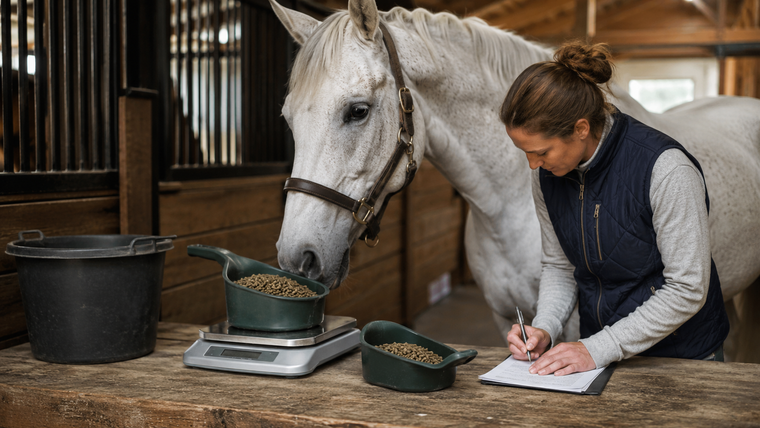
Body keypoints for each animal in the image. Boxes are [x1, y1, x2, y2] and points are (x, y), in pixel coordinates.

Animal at [269, 0, 760, 346]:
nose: (298, 258)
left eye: (358, 110)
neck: (508, 208)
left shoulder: (577, 325)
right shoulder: (504, 315)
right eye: (288, 118)